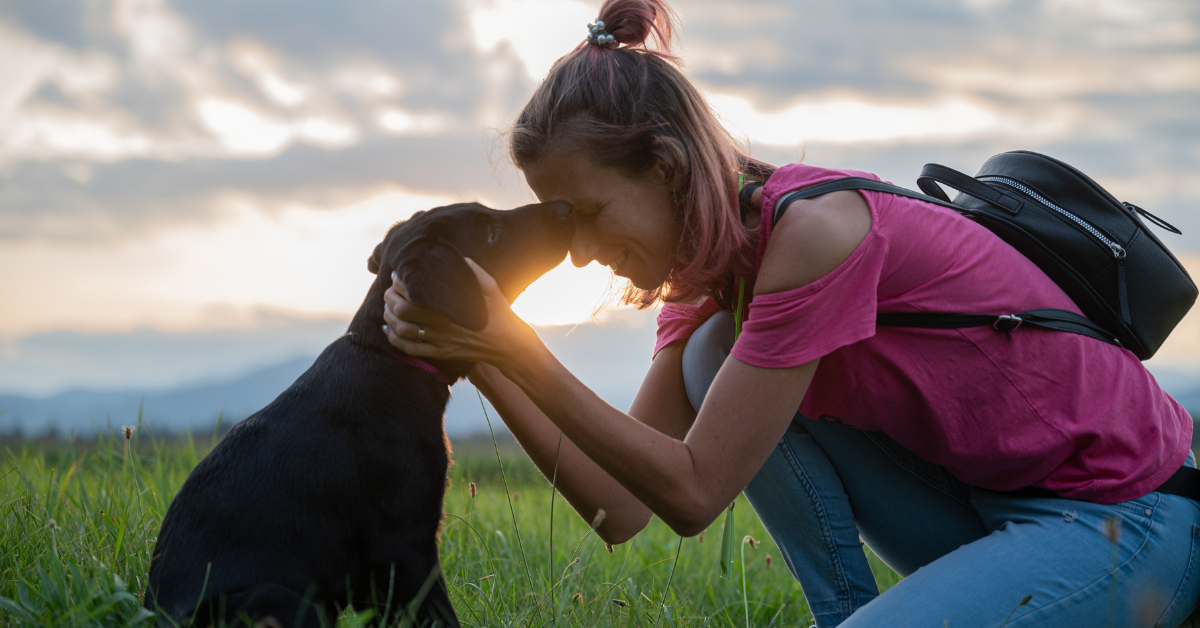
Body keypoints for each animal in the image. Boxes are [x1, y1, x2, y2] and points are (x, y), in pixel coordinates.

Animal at [142, 199, 573, 624]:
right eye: (489, 232)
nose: (563, 208)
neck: (390, 357)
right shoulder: (402, 546)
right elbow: (439, 614)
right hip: (281, 599)